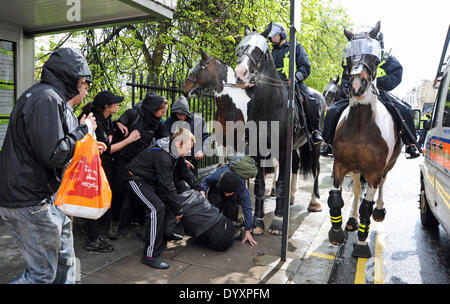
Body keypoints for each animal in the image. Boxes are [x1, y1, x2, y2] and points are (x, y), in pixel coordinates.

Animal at [234, 24, 326, 235]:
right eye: (240, 48)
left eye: (259, 51)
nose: (240, 73)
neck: (269, 106)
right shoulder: (257, 150)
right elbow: (260, 185)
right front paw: (258, 221)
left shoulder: (283, 149)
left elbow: (280, 183)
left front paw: (277, 221)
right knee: (296, 166)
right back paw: (290, 199)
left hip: (315, 146)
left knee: (315, 170)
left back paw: (314, 202)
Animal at [326, 21, 402, 258]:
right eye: (349, 56)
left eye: (375, 57)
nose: (358, 85)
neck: (361, 124)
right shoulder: (341, 164)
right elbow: (336, 197)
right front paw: (337, 231)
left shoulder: (375, 171)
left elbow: (366, 206)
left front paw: (361, 242)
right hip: (357, 168)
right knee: (358, 190)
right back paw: (352, 220)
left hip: (387, 166)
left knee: (381, 186)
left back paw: (379, 210)